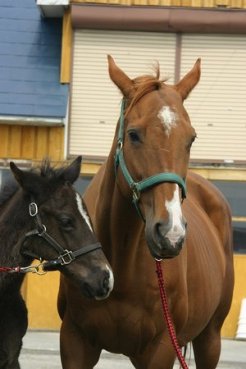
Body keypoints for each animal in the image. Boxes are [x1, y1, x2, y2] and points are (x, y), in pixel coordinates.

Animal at [58, 56, 234, 366]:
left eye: (191, 139)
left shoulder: (160, 349)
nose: (170, 234)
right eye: (133, 135)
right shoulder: (74, 342)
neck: (122, 266)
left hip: (210, 338)